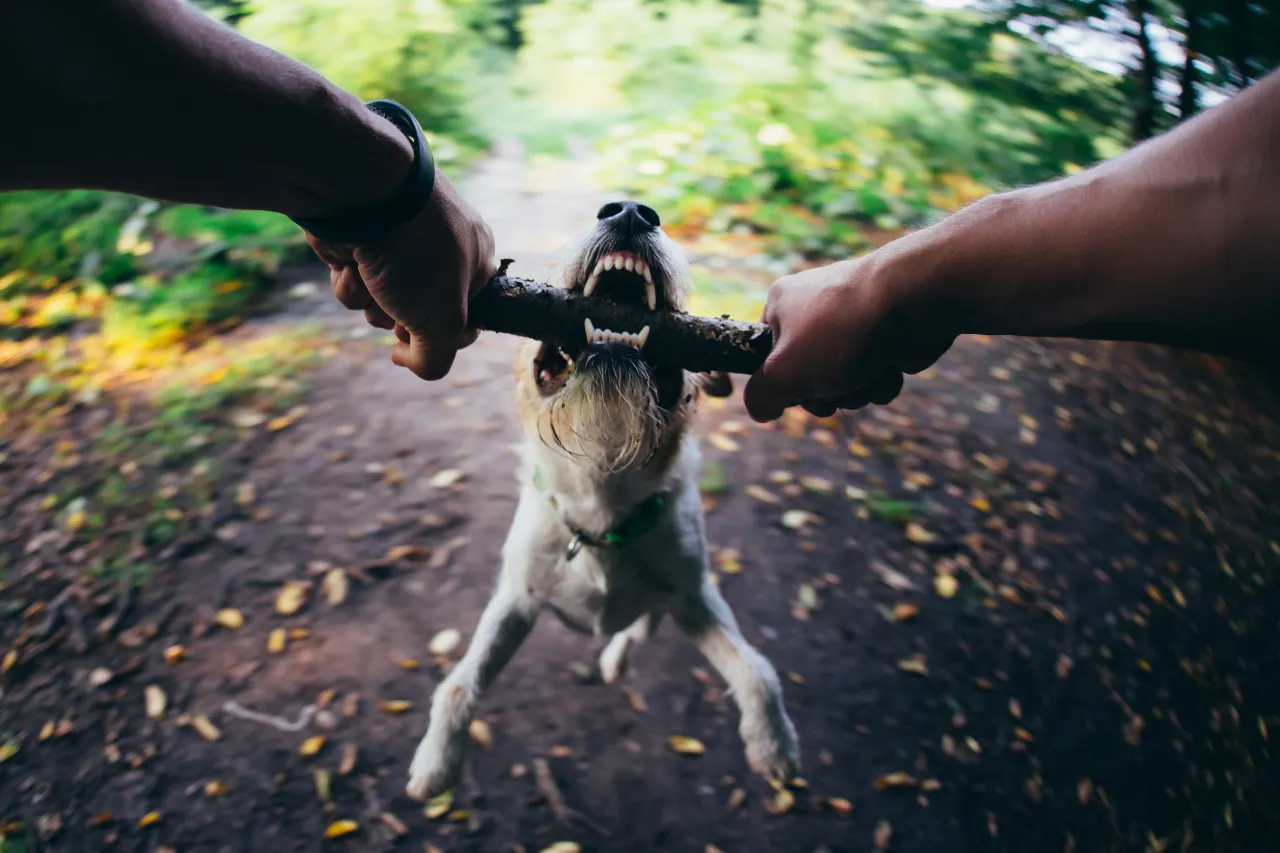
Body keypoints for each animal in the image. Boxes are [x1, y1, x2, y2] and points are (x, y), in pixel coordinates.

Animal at [404, 199, 798, 799]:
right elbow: (459, 683)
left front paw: (773, 745)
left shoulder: (695, 599)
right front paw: (436, 762)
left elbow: (757, 670)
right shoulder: (516, 602)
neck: (602, 491)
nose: (632, 211)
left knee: (641, 624)